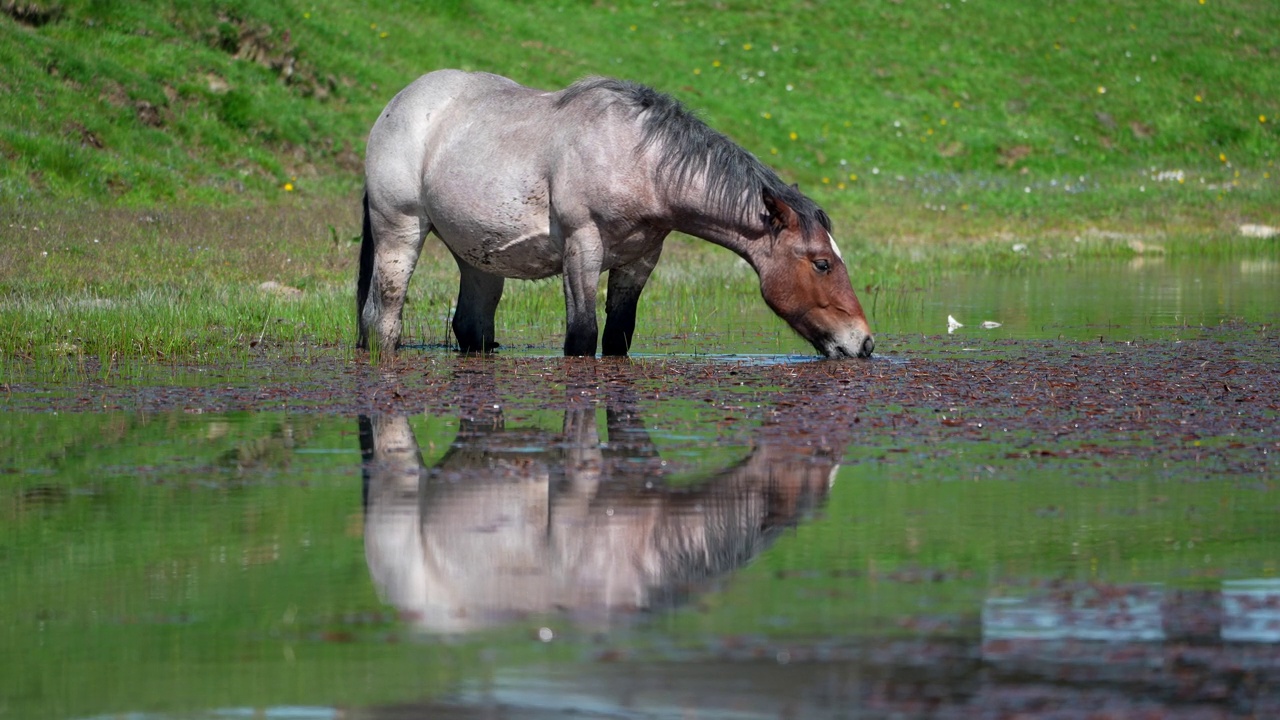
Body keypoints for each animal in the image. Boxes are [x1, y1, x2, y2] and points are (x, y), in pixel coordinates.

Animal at [355, 70, 875, 356]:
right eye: (821, 263)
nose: (864, 342)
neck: (637, 160)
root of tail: (397, 105)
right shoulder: (581, 250)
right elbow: (582, 339)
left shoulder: (639, 261)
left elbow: (618, 337)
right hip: (399, 234)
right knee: (382, 321)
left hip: (479, 260)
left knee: (472, 330)